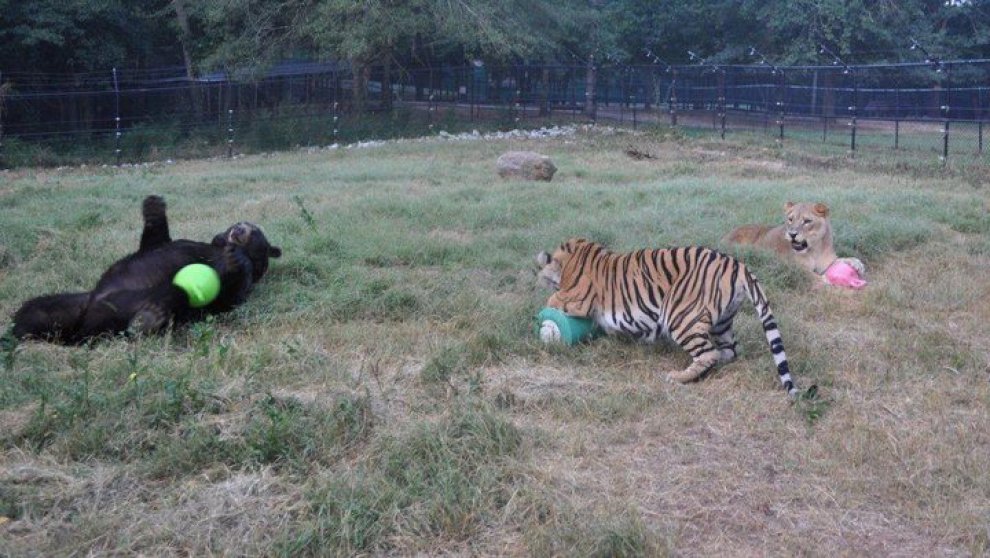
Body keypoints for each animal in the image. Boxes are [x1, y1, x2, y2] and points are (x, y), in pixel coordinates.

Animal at [11, 195, 282, 343]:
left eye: (255, 230)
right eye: (240, 223)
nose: (240, 228)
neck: (221, 247)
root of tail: (84, 326)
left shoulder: (237, 284)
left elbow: (231, 292)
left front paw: (235, 261)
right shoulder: (172, 245)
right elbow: (155, 241)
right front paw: (153, 208)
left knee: (175, 295)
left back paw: (149, 318)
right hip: (72, 304)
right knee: (34, 310)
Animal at [536, 237, 798, 397]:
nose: (539, 282)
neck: (568, 260)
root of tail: (736, 263)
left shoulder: (577, 298)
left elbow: (554, 300)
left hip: (680, 317)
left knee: (708, 353)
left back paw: (678, 377)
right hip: (722, 323)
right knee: (729, 350)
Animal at [721, 201, 865, 285]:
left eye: (807, 221)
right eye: (790, 219)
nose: (792, 234)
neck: (815, 249)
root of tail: (724, 236)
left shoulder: (826, 263)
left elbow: (840, 260)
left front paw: (857, 263)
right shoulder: (792, 265)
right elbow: (809, 273)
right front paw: (824, 279)